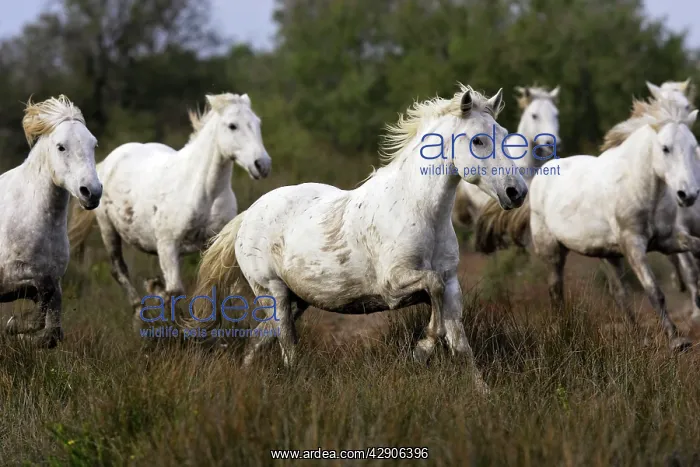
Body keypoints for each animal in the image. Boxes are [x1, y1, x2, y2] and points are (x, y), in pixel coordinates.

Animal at [0, 95, 101, 347]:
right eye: (61, 147)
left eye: (93, 145)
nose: (92, 192)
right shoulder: (11, 276)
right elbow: (41, 291)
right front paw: (14, 325)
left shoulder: (54, 281)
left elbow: (52, 334)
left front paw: (18, 332)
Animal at [67, 93, 271, 330]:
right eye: (232, 126)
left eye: (257, 123)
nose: (262, 164)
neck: (203, 191)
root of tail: (108, 161)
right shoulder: (167, 245)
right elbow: (174, 290)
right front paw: (157, 300)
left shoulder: (211, 244)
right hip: (108, 229)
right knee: (119, 270)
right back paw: (139, 314)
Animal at [186, 84, 528, 394]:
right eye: (479, 140)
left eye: (503, 134)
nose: (517, 192)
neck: (418, 211)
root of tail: (248, 215)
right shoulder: (395, 285)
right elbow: (433, 293)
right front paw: (422, 350)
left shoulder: (452, 287)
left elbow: (459, 344)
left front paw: (483, 394)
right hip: (273, 292)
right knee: (286, 342)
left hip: (297, 300)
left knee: (261, 337)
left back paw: (247, 375)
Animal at [528, 96, 700, 351]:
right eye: (665, 148)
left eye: (693, 147)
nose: (688, 194)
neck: (640, 187)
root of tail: (541, 174)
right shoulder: (633, 245)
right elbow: (654, 291)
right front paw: (677, 340)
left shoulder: (667, 240)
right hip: (553, 252)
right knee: (556, 291)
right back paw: (563, 332)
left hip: (608, 254)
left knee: (619, 294)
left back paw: (638, 337)